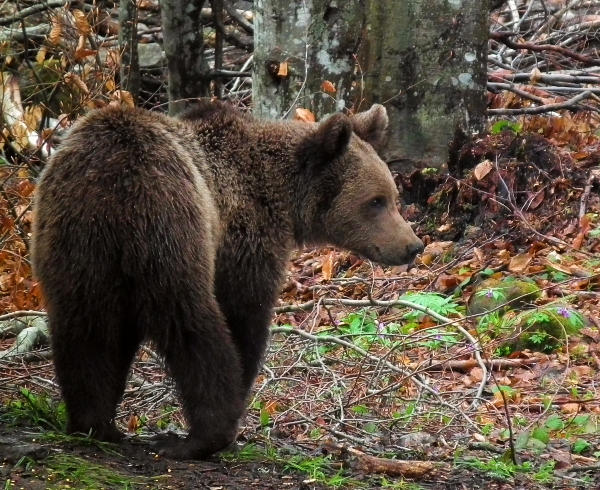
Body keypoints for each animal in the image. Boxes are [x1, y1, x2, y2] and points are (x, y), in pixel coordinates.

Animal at [31, 102, 422, 460]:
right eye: (376, 201)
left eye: (391, 197)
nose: (413, 246)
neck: (281, 195)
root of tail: (114, 186)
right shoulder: (243, 238)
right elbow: (244, 317)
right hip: (172, 230)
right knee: (194, 330)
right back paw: (199, 438)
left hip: (74, 244)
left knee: (83, 331)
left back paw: (94, 425)